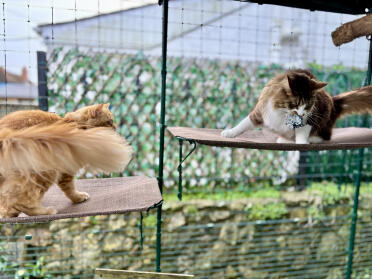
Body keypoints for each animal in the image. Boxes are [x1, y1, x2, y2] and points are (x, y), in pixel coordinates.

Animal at [0, 104, 132, 220]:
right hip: (46, 171)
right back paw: (45, 211)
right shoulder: (66, 169)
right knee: (21, 202)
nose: (115, 127)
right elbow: (70, 189)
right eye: (109, 121)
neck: (75, 125)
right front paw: (78, 198)